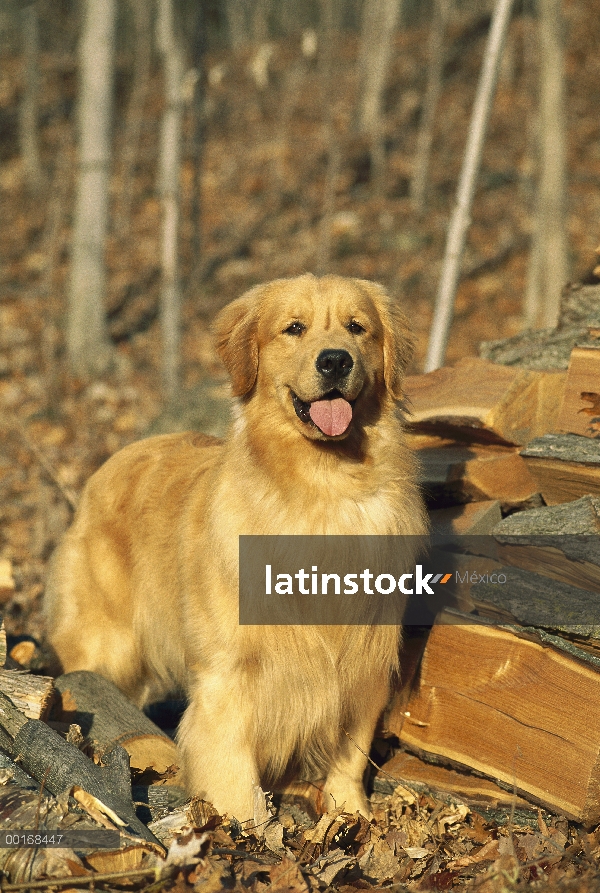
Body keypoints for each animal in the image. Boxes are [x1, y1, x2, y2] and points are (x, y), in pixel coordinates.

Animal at [45, 274, 426, 824]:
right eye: (294, 328)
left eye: (357, 328)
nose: (335, 360)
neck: (321, 489)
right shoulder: (230, 675)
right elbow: (232, 771)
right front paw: (247, 828)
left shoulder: (364, 659)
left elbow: (350, 753)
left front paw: (349, 814)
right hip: (104, 642)